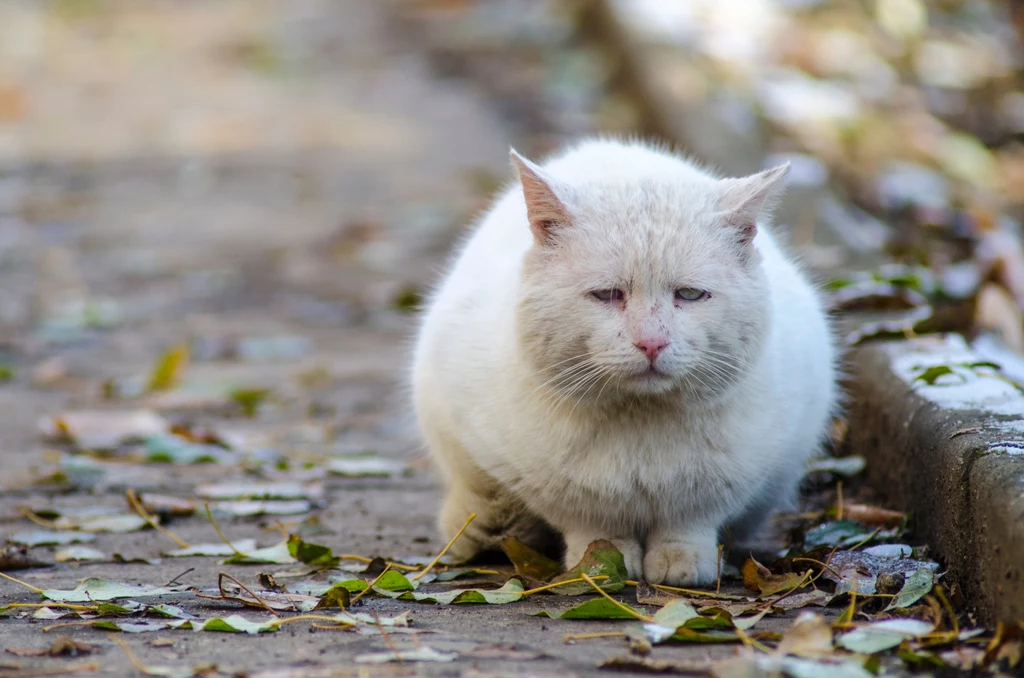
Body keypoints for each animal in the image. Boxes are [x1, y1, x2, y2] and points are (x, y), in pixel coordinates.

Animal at [411, 138, 835, 585]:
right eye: (606, 295)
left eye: (690, 294)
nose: (651, 343)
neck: (639, 421)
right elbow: (595, 527)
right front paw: (600, 565)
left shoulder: (733, 477)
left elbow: (689, 521)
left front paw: (681, 562)